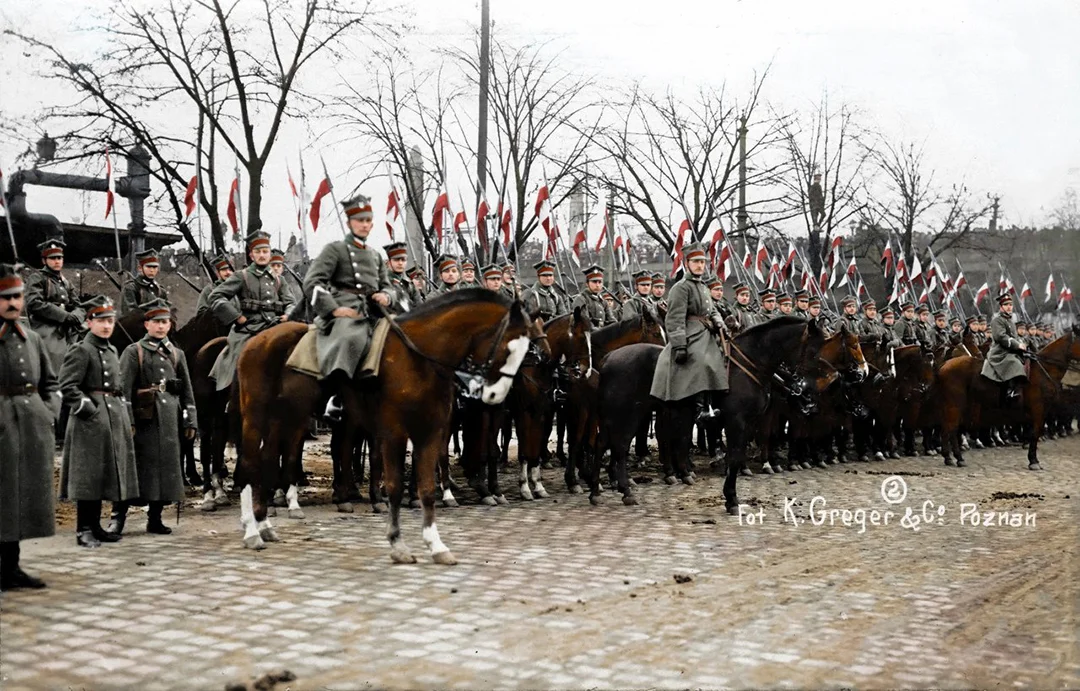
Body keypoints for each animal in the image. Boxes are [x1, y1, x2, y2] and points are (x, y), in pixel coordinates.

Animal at [237, 289, 540, 565]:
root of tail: (256, 341)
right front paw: (397, 544)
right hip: (255, 418)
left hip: (284, 418)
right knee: (249, 465)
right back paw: (251, 531)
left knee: (267, 462)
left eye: (526, 349)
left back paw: (264, 525)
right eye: (508, 347)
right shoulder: (394, 433)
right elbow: (393, 485)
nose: (494, 396)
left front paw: (436, 545)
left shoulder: (429, 433)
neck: (419, 359)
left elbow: (427, 488)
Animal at [937, 326, 1080, 470]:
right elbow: (1035, 433)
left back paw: (948, 457)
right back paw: (959, 458)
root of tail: (945, 365)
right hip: (956, 404)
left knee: (946, 427)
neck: (1044, 369)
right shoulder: (1038, 409)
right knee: (953, 428)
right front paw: (1033, 461)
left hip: (951, 405)